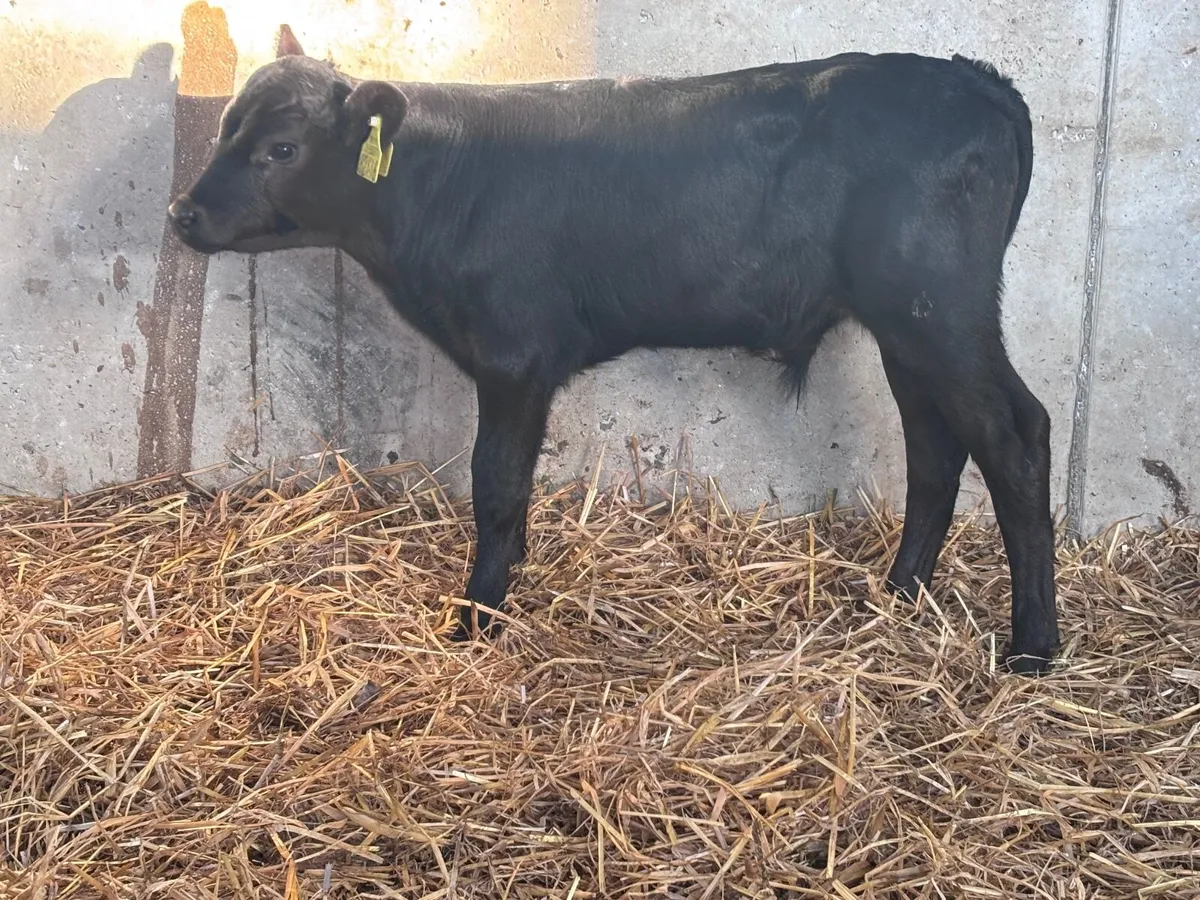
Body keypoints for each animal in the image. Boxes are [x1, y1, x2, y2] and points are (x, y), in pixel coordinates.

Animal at [167, 31, 1060, 675]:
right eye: (225, 127)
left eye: (281, 149)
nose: (181, 214)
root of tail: (975, 79)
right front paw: (507, 574)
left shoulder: (514, 356)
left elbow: (496, 482)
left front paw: (478, 614)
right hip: (910, 328)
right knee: (936, 446)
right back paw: (901, 594)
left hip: (941, 313)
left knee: (1016, 435)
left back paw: (1033, 647)